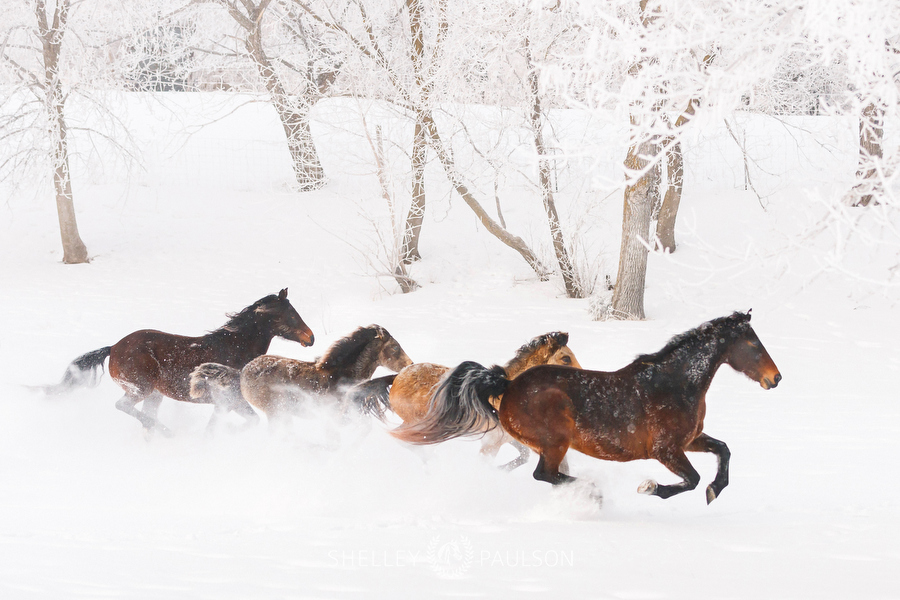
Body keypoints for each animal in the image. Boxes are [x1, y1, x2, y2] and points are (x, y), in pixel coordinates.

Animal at [44, 288, 314, 434]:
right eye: (291, 314)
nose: (311, 337)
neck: (234, 349)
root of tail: (114, 348)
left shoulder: (226, 403)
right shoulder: (230, 400)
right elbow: (237, 424)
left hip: (154, 394)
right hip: (141, 389)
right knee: (124, 406)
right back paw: (168, 432)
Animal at [394, 312, 780, 504]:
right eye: (752, 344)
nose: (775, 378)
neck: (673, 383)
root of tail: (507, 385)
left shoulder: (689, 441)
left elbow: (723, 451)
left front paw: (716, 491)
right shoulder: (665, 450)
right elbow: (692, 479)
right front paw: (649, 488)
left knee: (547, 475)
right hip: (554, 442)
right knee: (544, 475)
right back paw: (593, 492)